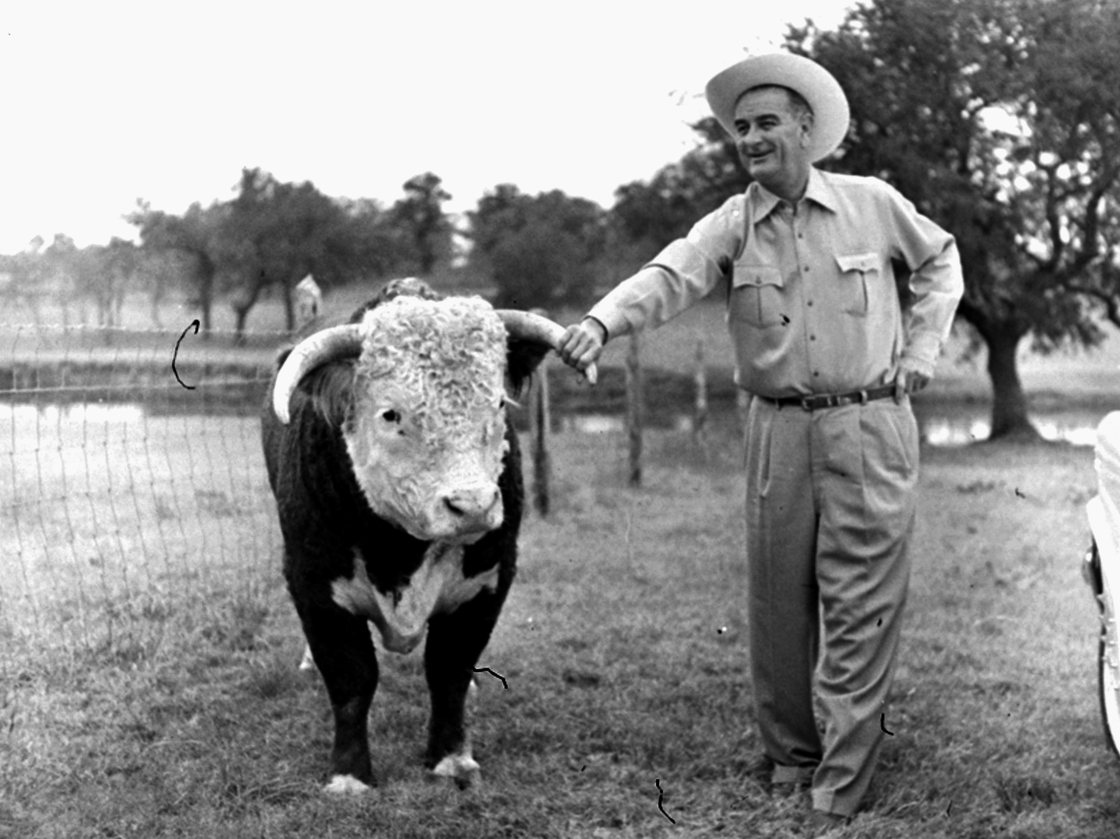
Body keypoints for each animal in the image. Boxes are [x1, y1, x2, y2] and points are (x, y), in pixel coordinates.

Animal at [261, 278, 593, 793]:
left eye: (499, 403)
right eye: (391, 414)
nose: (473, 505)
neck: (401, 555)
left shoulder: (488, 582)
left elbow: (449, 669)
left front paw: (452, 758)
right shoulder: (313, 582)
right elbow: (351, 679)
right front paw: (349, 776)